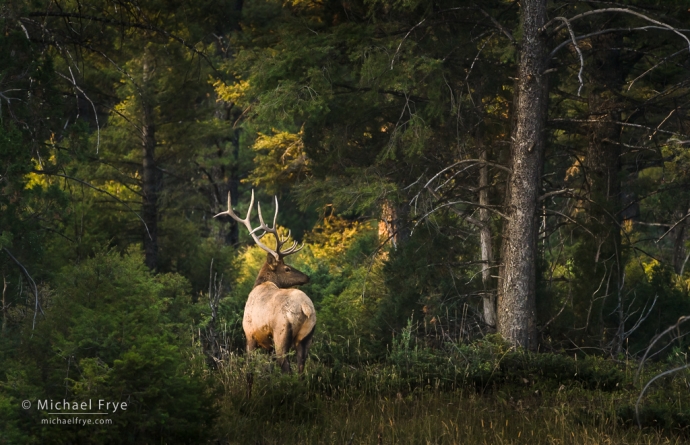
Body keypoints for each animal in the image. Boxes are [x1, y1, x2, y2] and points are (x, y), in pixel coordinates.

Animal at [214, 189, 316, 372]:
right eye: (287, 268)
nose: (307, 277)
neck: (260, 283)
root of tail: (306, 308)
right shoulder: (266, 345)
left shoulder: (249, 335)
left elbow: (250, 368)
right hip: (306, 338)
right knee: (300, 368)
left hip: (281, 333)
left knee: (286, 367)